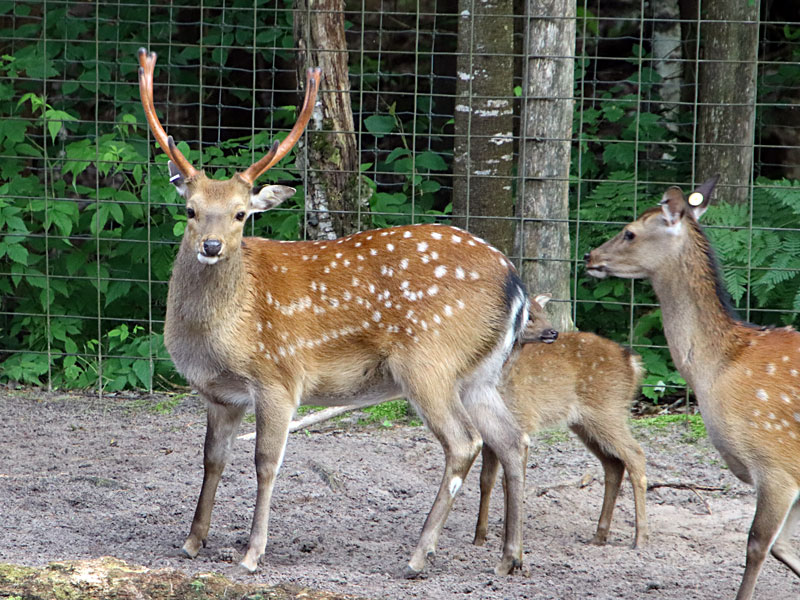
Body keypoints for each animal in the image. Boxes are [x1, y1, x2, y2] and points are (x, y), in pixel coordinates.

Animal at [138, 50, 532, 576]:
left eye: (242, 213)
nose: (212, 246)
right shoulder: (219, 394)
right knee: (513, 439)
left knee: (464, 442)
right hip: (480, 373)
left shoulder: (278, 376)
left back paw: (418, 554)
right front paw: (192, 541)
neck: (219, 333)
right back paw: (510, 557)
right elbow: (211, 459)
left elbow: (266, 462)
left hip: (428, 360)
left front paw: (252, 552)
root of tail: (517, 285)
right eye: (190, 210)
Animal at [476, 294, 648, 548]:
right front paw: (479, 537)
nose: (552, 332)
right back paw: (599, 535)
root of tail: (633, 363)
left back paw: (640, 538)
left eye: (544, 312)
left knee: (635, 454)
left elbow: (510, 481)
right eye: (528, 315)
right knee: (614, 464)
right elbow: (486, 480)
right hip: (584, 422)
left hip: (607, 410)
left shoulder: (522, 421)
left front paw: (507, 538)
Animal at [584, 175, 800, 600]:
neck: (717, 369)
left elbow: (758, 544)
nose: (589, 256)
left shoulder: (776, 461)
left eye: (630, 232)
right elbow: (783, 546)